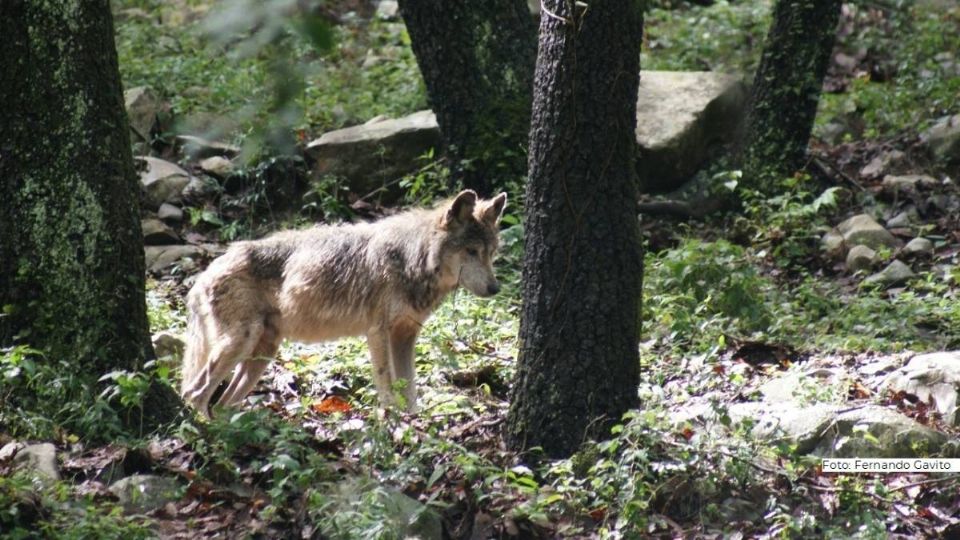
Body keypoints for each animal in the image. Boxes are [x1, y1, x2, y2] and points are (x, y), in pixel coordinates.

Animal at [182, 191, 510, 418]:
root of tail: (204, 274)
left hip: (261, 355)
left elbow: (410, 391)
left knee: (222, 403)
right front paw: (392, 423)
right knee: (193, 393)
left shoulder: (405, 336)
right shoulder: (378, 333)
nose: (496, 288)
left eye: (492, 252)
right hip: (240, 343)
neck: (412, 258)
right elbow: (387, 387)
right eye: (471, 251)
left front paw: (412, 423)